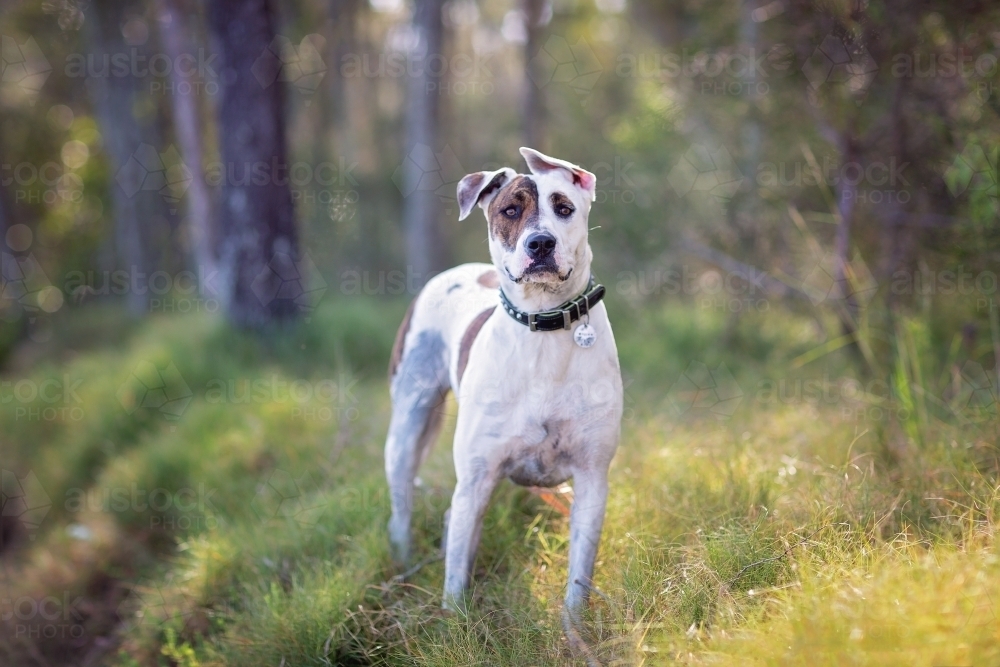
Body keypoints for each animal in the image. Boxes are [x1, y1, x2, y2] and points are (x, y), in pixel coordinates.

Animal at [386, 147, 620, 620]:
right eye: (511, 210)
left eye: (563, 208)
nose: (541, 243)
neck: (544, 329)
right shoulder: (476, 480)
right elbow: (456, 578)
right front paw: (455, 624)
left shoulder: (592, 478)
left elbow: (579, 575)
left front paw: (575, 628)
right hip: (406, 427)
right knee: (401, 503)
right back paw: (403, 560)